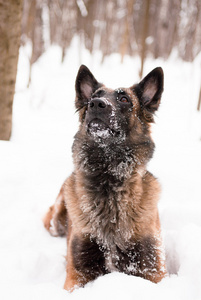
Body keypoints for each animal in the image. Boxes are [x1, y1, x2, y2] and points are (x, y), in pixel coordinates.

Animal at [43, 65, 166, 290]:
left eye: (124, 99)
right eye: (93, 97)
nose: (96, 104)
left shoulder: (154, 270)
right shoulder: (77, 274)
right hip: (57, 217)